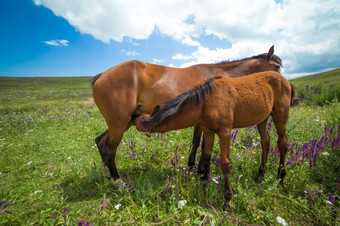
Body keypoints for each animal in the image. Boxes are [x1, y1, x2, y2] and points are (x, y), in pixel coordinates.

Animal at [91, 45, 282, 185]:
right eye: (276, 66)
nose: (281, 82)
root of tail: (101, 76)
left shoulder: (200, 121)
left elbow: (197, 143)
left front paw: (193, 167)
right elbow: (203, 145)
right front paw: (201, 170)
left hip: (123, 123)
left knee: (100, 141)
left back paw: (108, 174)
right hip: (119, 124)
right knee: (109, 149)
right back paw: (119, 183)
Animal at [133, 71, 294, 212]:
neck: (206, 102)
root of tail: (285, 80)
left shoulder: (225, 132)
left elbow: (225, 163)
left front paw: (227, 200)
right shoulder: (209, 132)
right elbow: (207, 155)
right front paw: (204, 183)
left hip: (280, 117)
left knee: (282, 144)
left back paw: (281, 178)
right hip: (262, 119)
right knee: (266, 142)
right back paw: (261, 175)